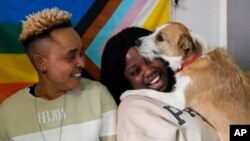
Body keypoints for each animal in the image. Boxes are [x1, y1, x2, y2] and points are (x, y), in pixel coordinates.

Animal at [121, 21, 250, 140]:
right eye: (153, 32)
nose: (136, 42)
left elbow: (148, 91)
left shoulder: (178, 99)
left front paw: (127, 93)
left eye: (160, 38)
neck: (194, 59)